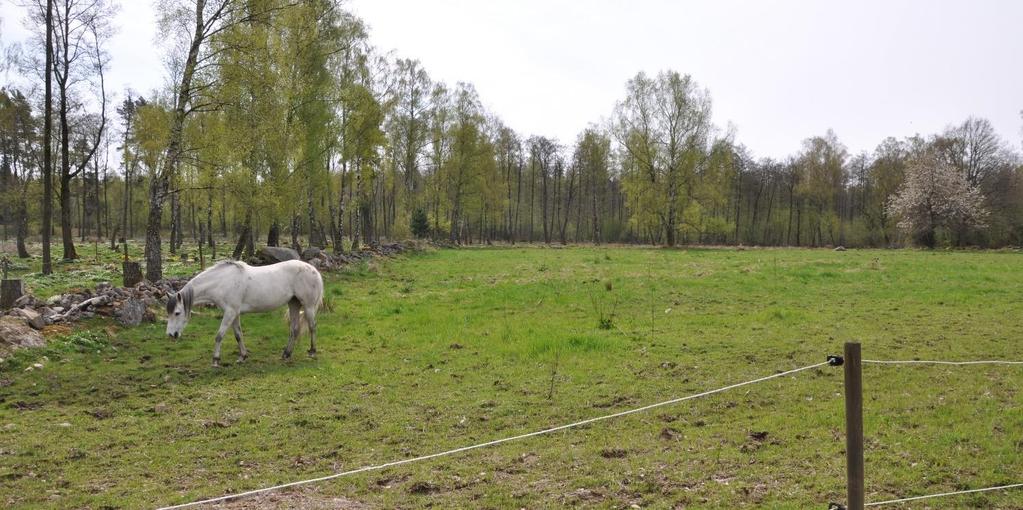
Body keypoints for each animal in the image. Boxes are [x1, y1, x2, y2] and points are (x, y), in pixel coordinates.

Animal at [165, 259, 323, 367]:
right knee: (294, 329)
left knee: (312, 327)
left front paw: (215, 360)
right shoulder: (234, 313)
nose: (171, 335)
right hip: (293, 304)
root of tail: (313, 269)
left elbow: (219, 335)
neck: (222, 282)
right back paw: (286, 354)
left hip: (308, 306)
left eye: (177, 313)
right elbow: (238, 335)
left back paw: (312, 352)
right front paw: (242, 356)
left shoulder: (230, 312)